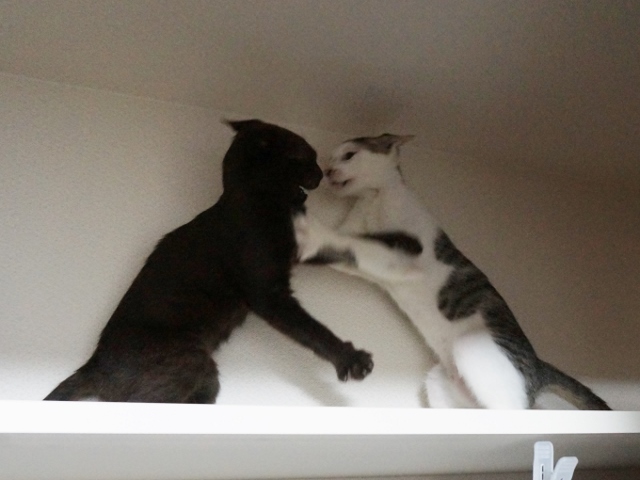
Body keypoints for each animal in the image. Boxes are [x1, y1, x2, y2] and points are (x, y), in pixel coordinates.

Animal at [44, 119, 374, 403]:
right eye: (308, 157)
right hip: (190, 363)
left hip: (203, 373)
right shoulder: (269, 293)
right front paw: (350, 358)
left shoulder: (296, 251)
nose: (320, 173)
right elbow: (311, 330)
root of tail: (94, 364)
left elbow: (335, 251)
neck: (257, 201)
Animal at [294, 133, 610, 410]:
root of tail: (539, 364)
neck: (373, 198)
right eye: (330, 159)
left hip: (471, 350)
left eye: (349, 155)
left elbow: (354, 242)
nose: (328, 171)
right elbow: (349, 248)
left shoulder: (406, 250)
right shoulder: (370, 255)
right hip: (440, 382)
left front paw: (312, 233)